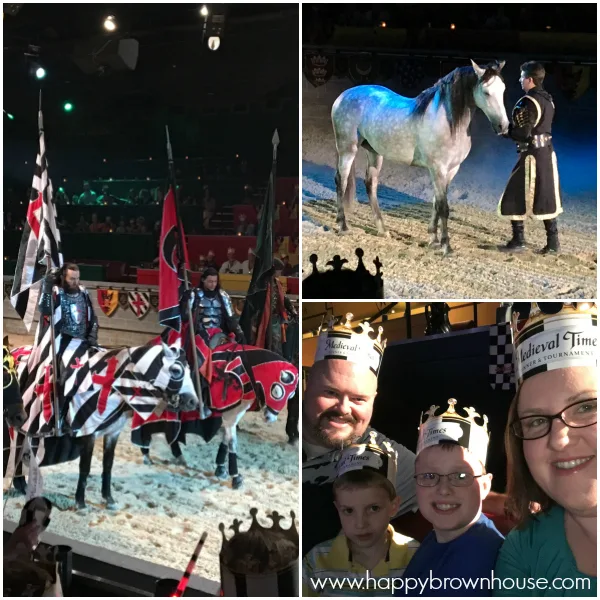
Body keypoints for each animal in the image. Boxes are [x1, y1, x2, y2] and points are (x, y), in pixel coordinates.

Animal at [6, 340, 199, 508]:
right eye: (176, 370)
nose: (193, 402)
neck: (110, 386)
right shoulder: (88, 433)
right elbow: (85, 467)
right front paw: (80, 502)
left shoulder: (113, 433)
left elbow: (108, 465)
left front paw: (109, 499)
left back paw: (21, 483)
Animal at [133, 330, 298, 490]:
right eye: (277, 391)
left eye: (291, 395)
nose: (271, 418)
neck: (244, 368)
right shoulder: (229, 414)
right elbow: (232, 442)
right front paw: (236, 477)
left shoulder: (235, 413)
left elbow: (226, 439)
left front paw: (220, 469)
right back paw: (146, 454)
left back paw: (177, 455)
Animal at [330, 60, 508, 255]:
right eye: (486, 92)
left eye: (503, 89)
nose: (504, 126)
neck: (447, 122)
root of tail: (343, 96)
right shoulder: (438, 169)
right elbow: (443, 207)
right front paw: (446, 246)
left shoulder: (450, 171)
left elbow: (436, 203)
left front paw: (433, 240)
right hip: (347, 149)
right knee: (341, 182)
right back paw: (343, 226)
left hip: (374, 152)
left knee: (371, 184)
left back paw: (382, 230)